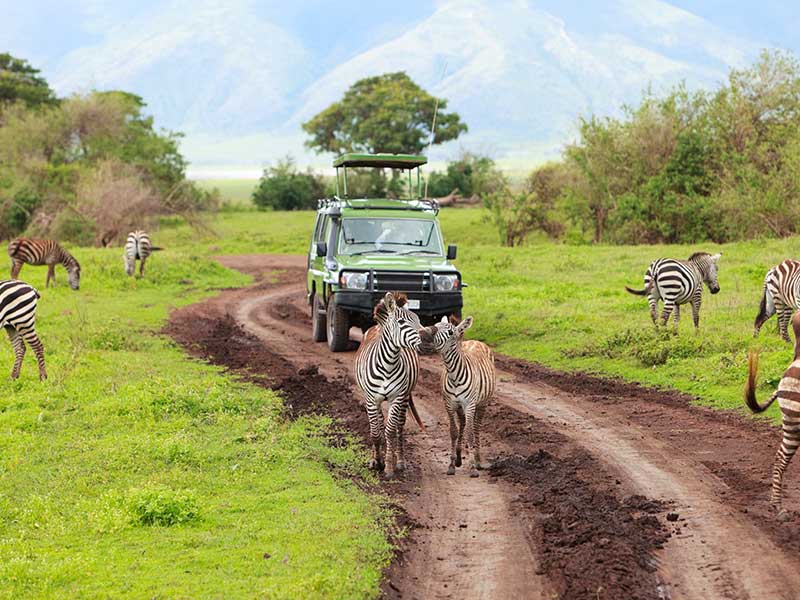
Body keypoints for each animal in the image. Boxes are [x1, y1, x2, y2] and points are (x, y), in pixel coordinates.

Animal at [422, 314, 496, 478]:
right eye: (435, 324)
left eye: (450, 332)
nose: (423, 334)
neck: (454, 374)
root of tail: (475, 341)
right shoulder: (449, 404)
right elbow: (454, 432)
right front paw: (451, 465)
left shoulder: (469, 405)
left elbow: (470, 433)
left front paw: (473, 467)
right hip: (461, 407)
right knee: (462, 423)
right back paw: (459, 458)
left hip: (482, 403)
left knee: (476, 427)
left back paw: (478, 460)